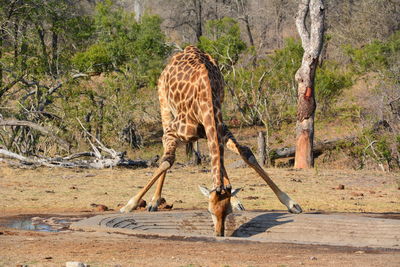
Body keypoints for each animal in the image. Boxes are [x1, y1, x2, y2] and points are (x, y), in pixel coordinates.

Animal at [120, 45, 302, 237]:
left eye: (227, 212)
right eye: (209, 211)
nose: (219, 234)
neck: (206, 98)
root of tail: (185, 49)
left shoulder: (220, 129)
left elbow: (246, 154)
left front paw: (291, 203)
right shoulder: (172, 131)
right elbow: (166, 161)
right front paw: (129, 205)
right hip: (164, 105)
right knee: (166, 155)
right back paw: (154, 202)